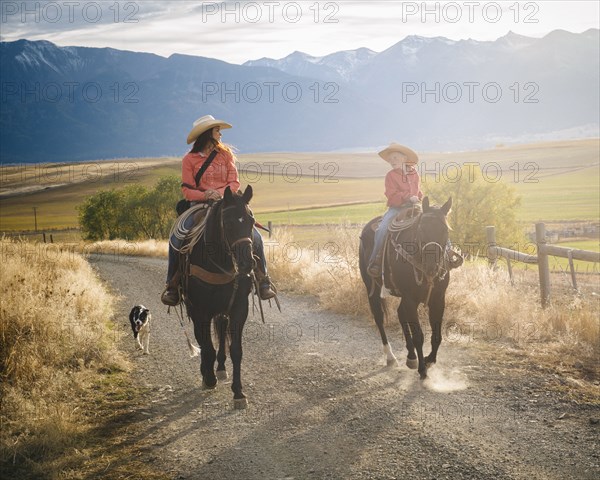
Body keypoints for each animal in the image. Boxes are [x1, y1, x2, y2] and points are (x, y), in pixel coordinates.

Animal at [185, 184, 255, 408]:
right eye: (229, 223)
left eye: (251, 221)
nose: (247, 264)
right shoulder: (200, 311)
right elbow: (206, 346)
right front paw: (209, 378)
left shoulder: (238, 308)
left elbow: (236, 350)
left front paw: (239, 392)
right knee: (203, 340)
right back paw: (207, 371)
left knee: (222, 331)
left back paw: (221, 368)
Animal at [360, 197, 454, 380]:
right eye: (421, 229)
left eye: (445, 230)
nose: (431, 267)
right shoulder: (411, 299)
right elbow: (418, 336)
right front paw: (423, 370)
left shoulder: (438, 299)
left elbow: (437, 335)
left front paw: (430, 360)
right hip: (371, 289)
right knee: (379, 318)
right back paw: (391, 357)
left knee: (400, 313)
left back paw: (411, 356)